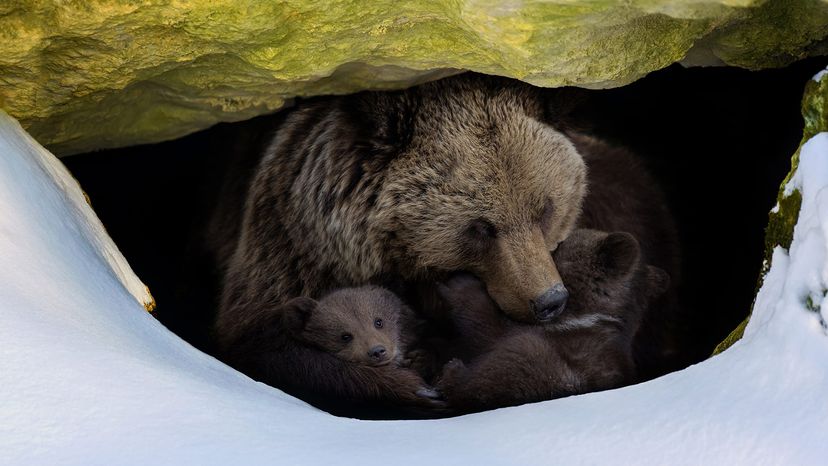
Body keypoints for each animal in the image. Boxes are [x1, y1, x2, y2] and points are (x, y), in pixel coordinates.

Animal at [436, 228, 668, 414]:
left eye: (560, 244)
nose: (550, 246)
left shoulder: (552, 335)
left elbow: (487, 325)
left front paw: (459, 282)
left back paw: (451, 373)